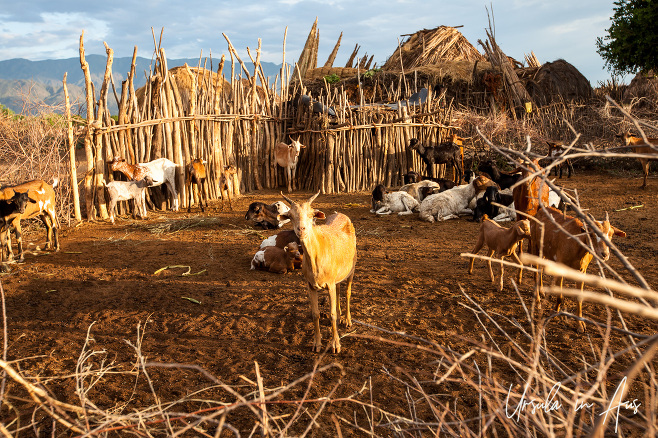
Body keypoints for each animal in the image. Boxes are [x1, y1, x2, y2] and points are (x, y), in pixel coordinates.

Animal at [280, 193, 356, 354]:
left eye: (311, 215)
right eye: (290, 216)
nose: (301, 229)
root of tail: (340, 214)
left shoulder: (330, 283)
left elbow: (332, 315)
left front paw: (336, 345)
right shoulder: (311, 285)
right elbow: (315, 314)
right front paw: (317, 344)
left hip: (352, 268)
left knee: (347, 292)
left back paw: (347, 320)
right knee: (339, 289)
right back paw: (341, 315)